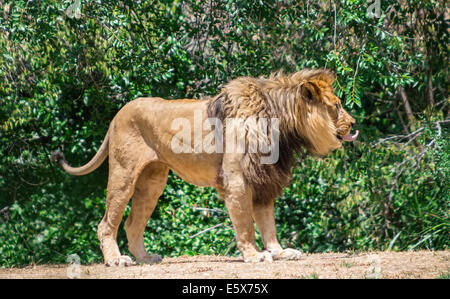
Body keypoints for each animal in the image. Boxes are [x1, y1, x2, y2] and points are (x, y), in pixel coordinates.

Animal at [50, 68, 358, 268]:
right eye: (337, 106)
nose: (354, 124)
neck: (281, 125)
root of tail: (117, 114)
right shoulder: (237, 180)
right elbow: (246, 224)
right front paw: (254, 255)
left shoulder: (264, 179)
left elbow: (268, 223)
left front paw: (280, 252)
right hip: (123, 174)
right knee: (107, 223)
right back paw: (116, 260)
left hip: (152, 182)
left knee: (132, 222)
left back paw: (145, 258)